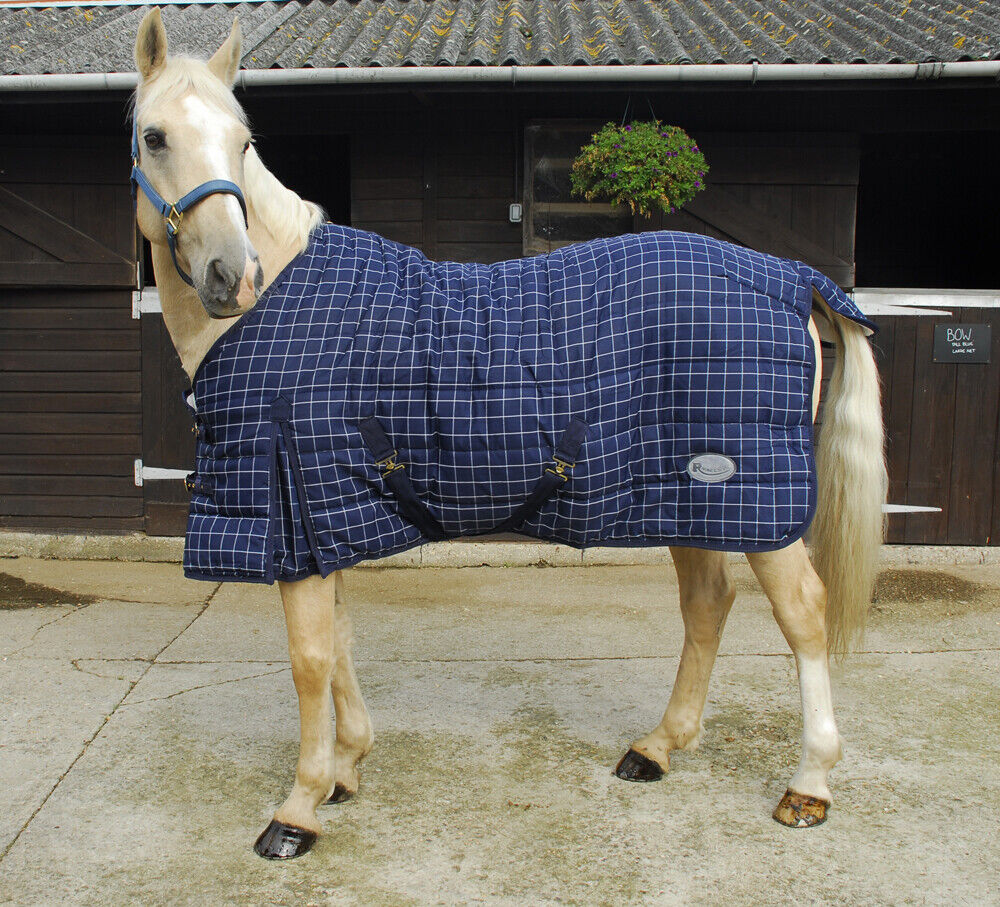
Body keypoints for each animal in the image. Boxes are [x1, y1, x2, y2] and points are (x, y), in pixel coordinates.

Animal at [130, 9, 886, 859]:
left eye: (243, 140)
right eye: (155, 136)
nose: (233, 275)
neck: (283, 306)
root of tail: (790, 277)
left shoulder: (296, 509)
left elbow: (310, 660)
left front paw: (298, 807)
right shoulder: (325, 517)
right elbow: (343, 644)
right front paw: (346, 769)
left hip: (756, 504)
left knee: (804, 618)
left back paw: (809, 783)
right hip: (690, 498)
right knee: (707, 603)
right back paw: (658, 746)